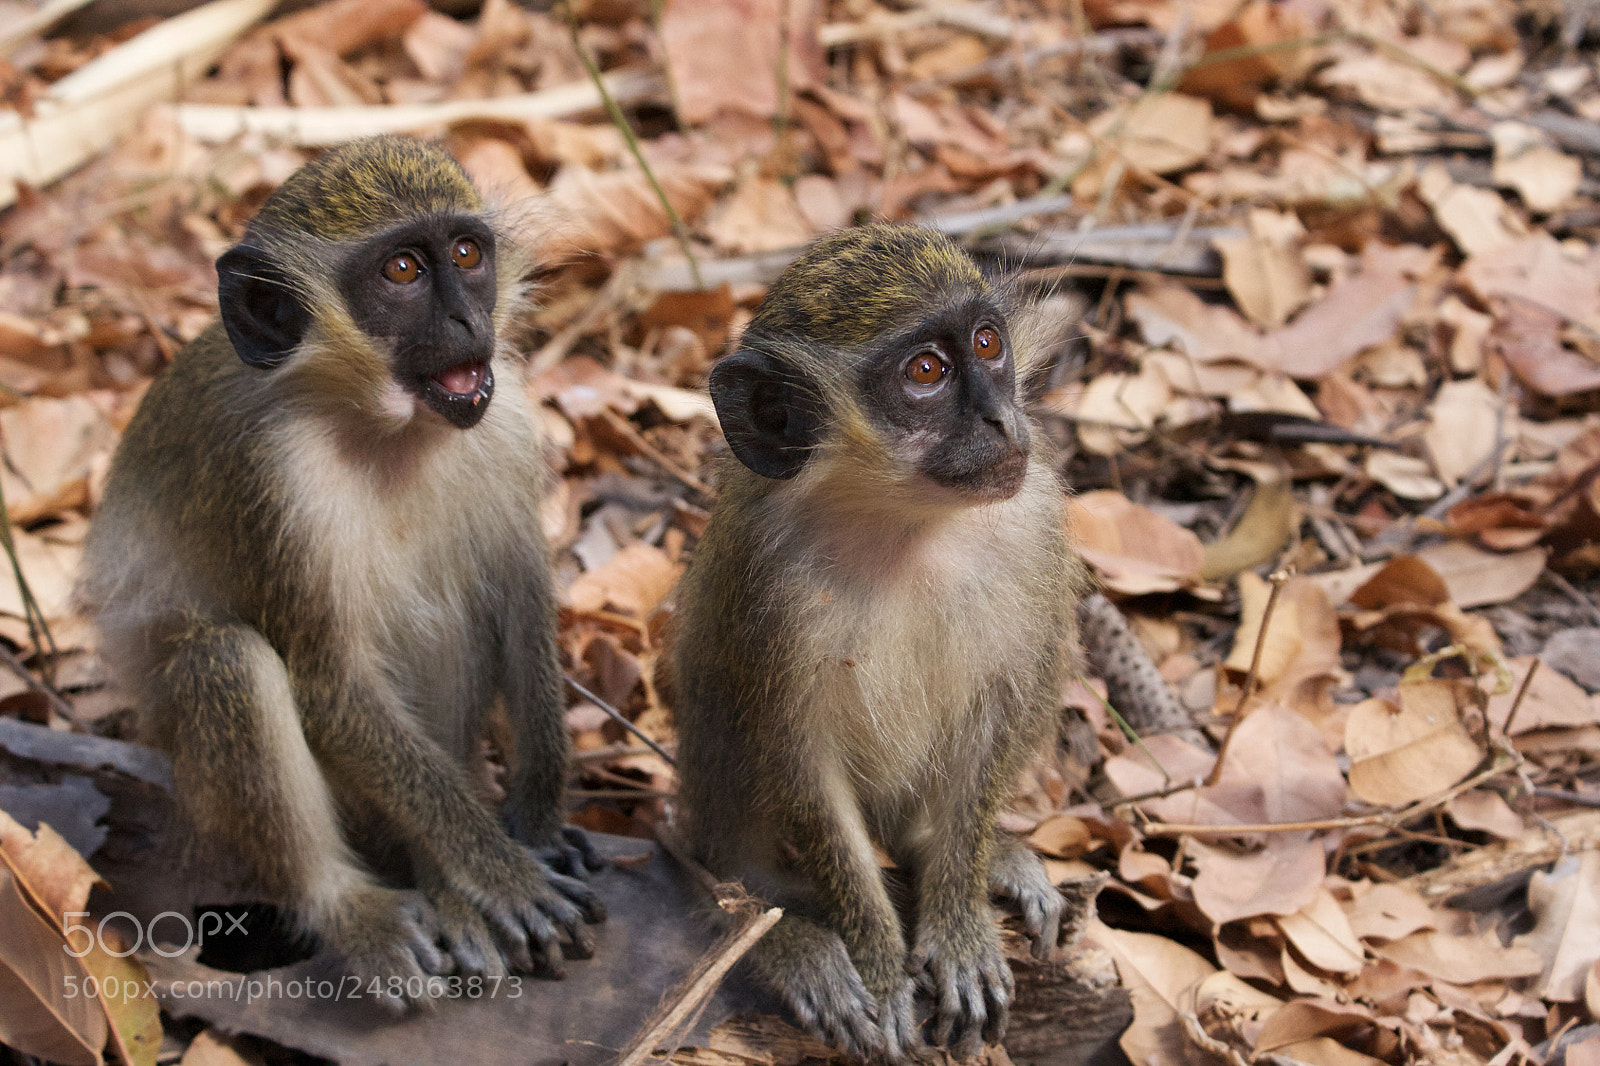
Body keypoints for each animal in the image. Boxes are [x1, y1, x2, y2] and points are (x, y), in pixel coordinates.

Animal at [77, 136, 604, 1012]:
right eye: (403, 271)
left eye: (467, 254)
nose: (467, 322)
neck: (386, 429)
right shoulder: (274, 479)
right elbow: (329, 683)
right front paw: (495, 869)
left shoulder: (507, 419)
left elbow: (524, 604)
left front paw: (537, 816)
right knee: (229, 659)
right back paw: (367, 904)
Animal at [669, 224, 1087, 1060]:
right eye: (926, 372)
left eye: (987, 342)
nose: (1002, 422)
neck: (903, 524)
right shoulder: (770, 581)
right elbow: (801, 761)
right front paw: (879, 962)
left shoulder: (1033, 521)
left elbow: (999, 715)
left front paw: (957, 924)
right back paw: (779, 934)